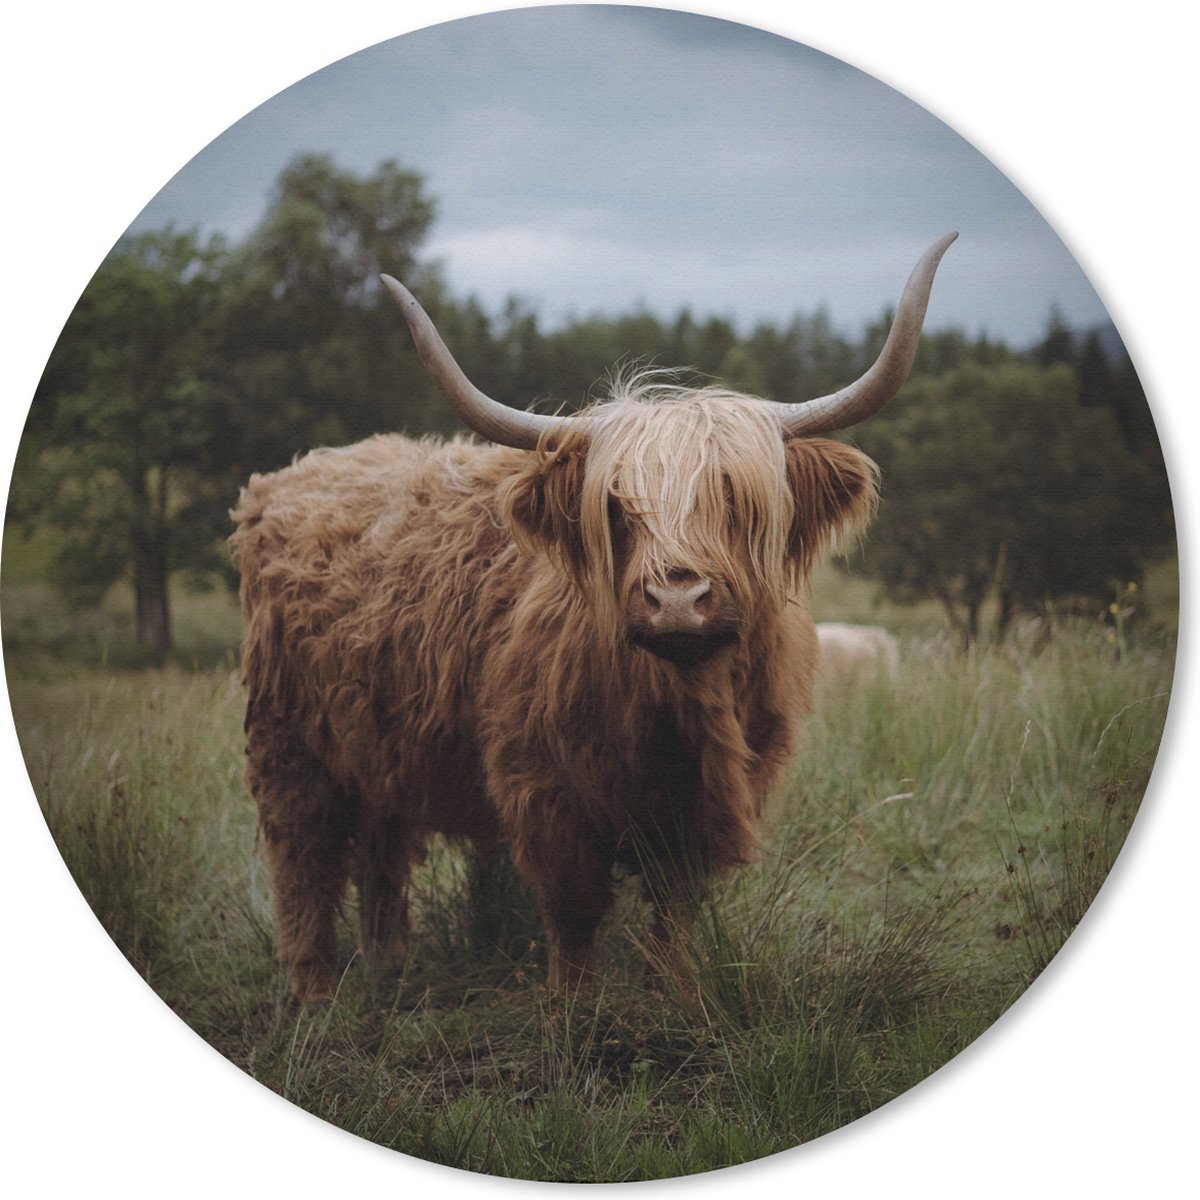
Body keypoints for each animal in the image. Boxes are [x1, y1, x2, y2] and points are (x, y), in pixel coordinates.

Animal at [231, 233, 956, 1001]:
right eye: (615, 504)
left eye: (735, 497)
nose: (677, 600)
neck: (679, 711)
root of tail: (298, 473)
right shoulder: (547, 795)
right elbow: (574, 915)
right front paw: (574, 1012)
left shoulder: (710, 806)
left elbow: (675, 914)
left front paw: (675, 997)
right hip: (288, 744)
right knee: (302, 860)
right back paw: (314, 994)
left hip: (379, 746)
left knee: (382, 851)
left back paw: (390, 970)